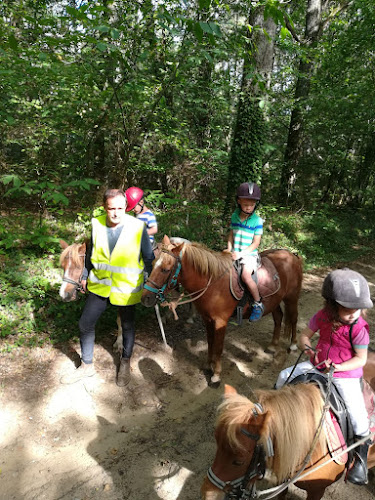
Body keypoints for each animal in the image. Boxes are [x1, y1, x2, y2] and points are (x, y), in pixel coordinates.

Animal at [141, 236, 302, 384]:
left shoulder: (220, 322)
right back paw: (273, 346)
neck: (213, 283)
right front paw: (208, 366)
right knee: (278, 318)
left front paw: (216, 375)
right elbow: (210, 342)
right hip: (274, 301)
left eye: (165, 269)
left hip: (292, 297)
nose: (145, 298)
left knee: (293, 318)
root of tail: (292, 255)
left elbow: (218, 346)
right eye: (153, 264)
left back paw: (293, 345)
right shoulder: (207, 319)